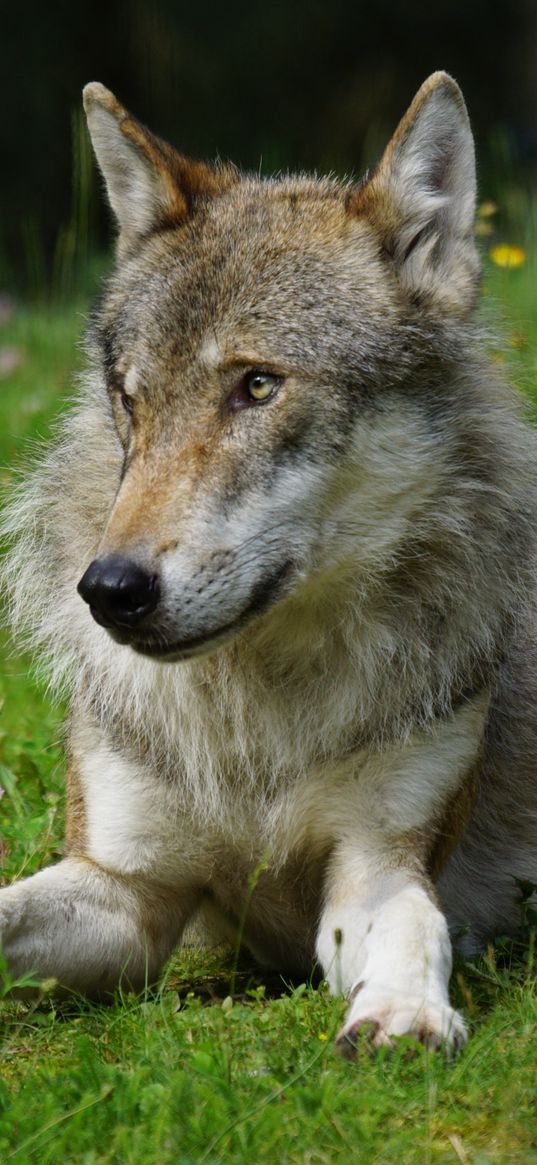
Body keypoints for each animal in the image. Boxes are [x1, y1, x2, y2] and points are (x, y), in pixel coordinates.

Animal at [1, 70, 535, 1057]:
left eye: (256, 385)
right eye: (131, 400)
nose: (109, 590)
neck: (258, 725)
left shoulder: (376, 861)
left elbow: (416, 925)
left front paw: (403, 1011)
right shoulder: (127, 891)